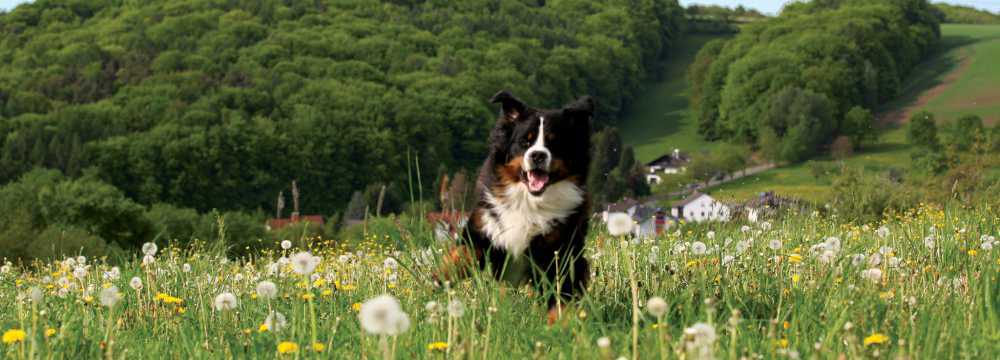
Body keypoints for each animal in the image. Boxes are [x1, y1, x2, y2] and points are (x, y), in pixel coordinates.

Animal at [438, 90, 592, 324]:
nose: (538, 155)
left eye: (554, 143)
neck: (528, 201)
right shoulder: (484, 226)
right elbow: (460, 255)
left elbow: (559, 294)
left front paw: (558, 324)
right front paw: (438, 280)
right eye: (524, 142)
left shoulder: (558, 250)